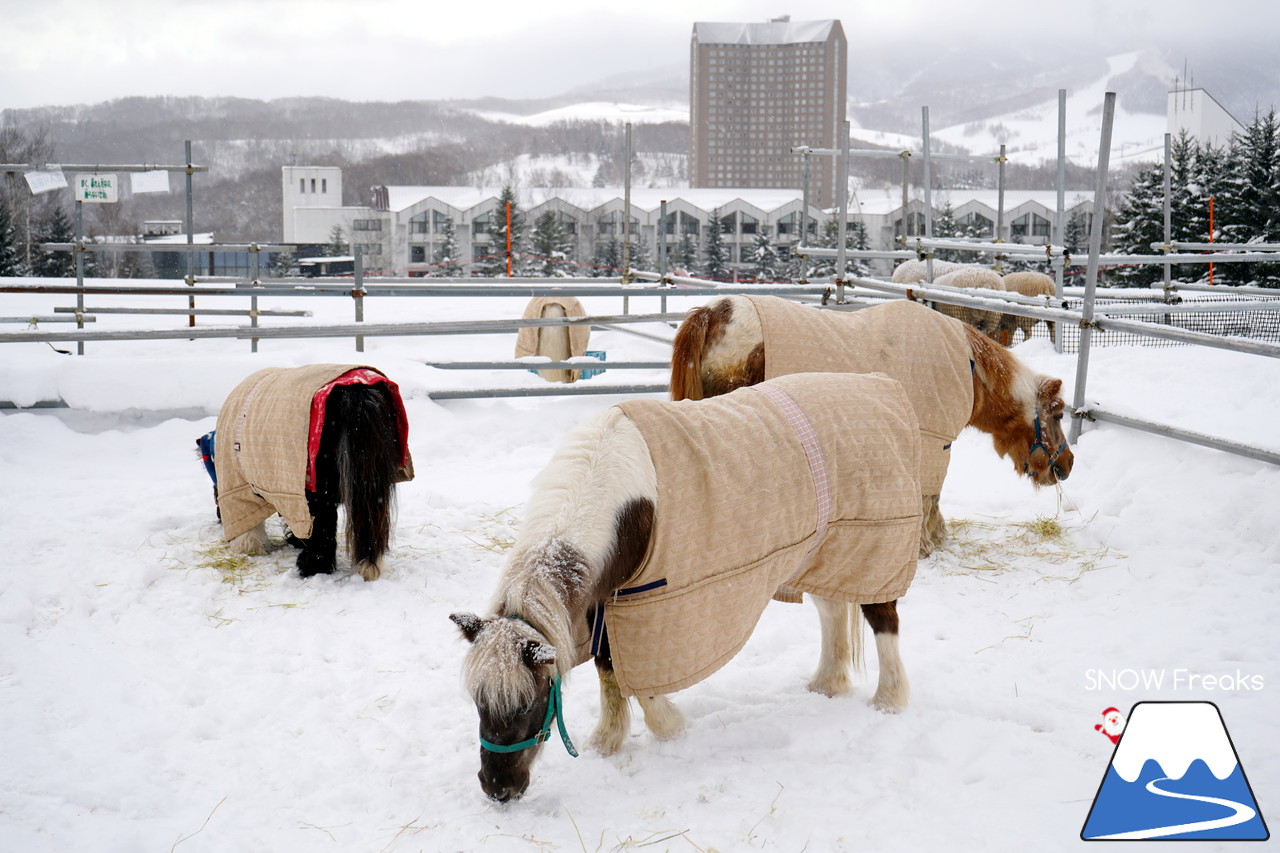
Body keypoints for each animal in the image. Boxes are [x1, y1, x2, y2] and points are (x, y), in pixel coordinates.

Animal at [670, 295, 1080, 555]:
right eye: (1059, 414)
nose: (1067, 464)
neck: (969, 368)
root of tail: (712, 312)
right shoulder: (933, 443)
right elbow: (929, 497)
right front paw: (927, 544)